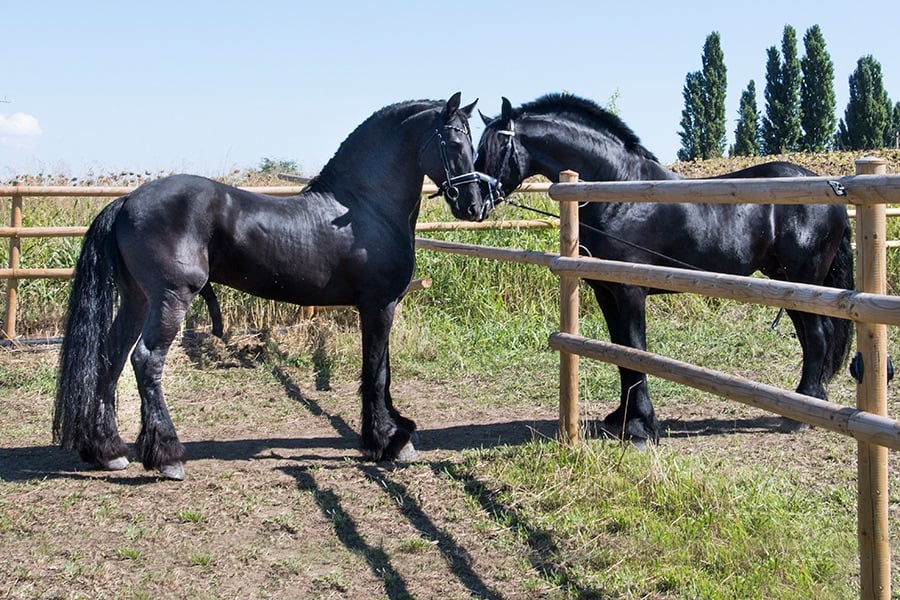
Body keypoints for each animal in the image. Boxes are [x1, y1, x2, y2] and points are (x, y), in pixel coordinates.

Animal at [54, 92, 490, 479]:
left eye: (473, 143)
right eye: (454, 142)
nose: (474, 205)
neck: (364, 206)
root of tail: (127, 201)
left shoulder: (381, 306)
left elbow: (381, 370)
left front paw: (395, 434)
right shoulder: (378, 305)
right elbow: (376, 373)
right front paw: (387, 441)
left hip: (138, 299)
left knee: (111, 357)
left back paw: (108, 450)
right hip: (170, 298)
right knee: (146, 360)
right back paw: (168, 457)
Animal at [475, 93, 853, 446]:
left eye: (498, 146)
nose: (470, 203)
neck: (618, 190)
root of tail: (831, 188)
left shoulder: (630, 292)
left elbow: (635, 349)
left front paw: (641, 426)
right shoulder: (606, 292)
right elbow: (620, 352)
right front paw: (622, 417)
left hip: (803, 278)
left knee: (817, 336)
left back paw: (800, 414)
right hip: (785, 282)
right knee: (813, 337)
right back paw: (808, 402)